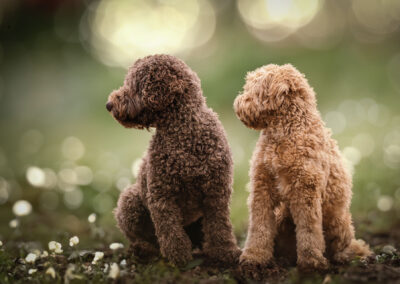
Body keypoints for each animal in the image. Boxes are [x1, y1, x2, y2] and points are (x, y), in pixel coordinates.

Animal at [105, 55, 241, 266]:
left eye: (134, 85)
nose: (109, 104)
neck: (184, 129)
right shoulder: (161, 195)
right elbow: (170, 231)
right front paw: (178, 257)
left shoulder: (216, 192)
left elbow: (220, 227)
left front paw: (225, 252)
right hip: (130, 199)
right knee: (140, 237)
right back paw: (142, 250)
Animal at [233, 63, 370, 276]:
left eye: (251, 88)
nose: (237, 102)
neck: (285, 130)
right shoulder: (262, 190)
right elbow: (259, 228)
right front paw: (253, 258)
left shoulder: (305, 192)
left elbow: (309, 230)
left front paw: (311, 263)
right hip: (283, 218)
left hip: (337, 221)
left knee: (344, 245)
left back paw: (345, 257)